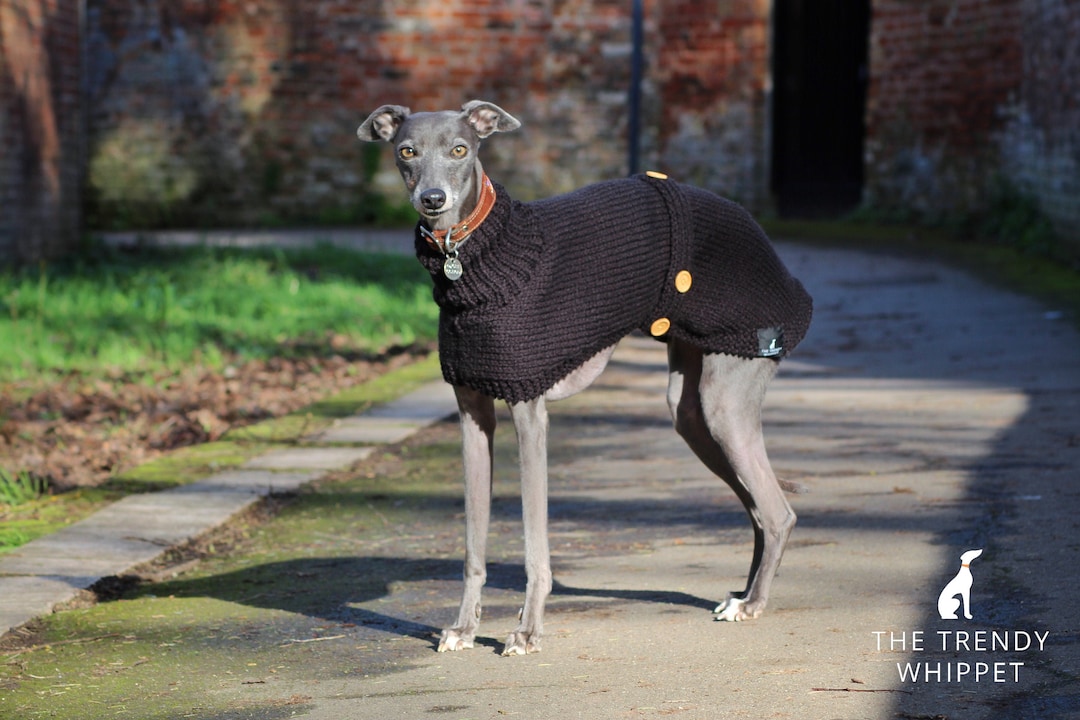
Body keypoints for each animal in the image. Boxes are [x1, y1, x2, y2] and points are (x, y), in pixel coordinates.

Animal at [358, 101, 812, 660]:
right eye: (406, 151)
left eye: (460, 149)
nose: (433, 200)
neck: (474, 257)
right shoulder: (472, 417)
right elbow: (472, 544)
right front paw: (464, 628)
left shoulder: (530, 413)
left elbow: (534, 546)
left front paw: (527, 632)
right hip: (690, 411)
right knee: (757, 509)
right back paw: (742, 595)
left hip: (726, 396)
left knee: (778, 513)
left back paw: (752, 604)